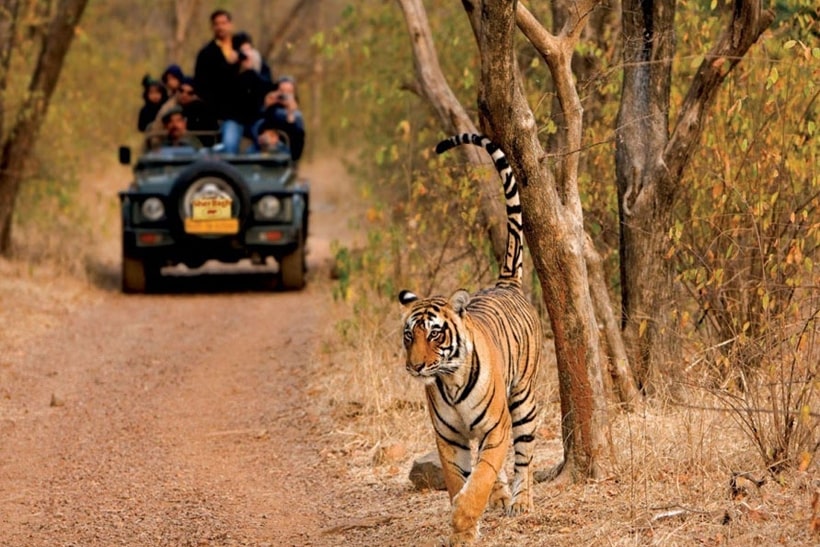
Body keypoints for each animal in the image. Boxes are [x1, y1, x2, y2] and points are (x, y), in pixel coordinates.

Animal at [398, 134, 540, 547]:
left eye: (434, 333)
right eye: (409, 335)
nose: (415, 366)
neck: (450, 380)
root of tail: (505, 283)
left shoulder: (496, 427)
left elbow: (480, 477)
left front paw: (465, 518)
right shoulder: (449, 438)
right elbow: (458, 479)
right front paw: (464, 528)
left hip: (522, 399)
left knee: (524, 454)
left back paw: (521, 502)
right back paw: (503, 497)